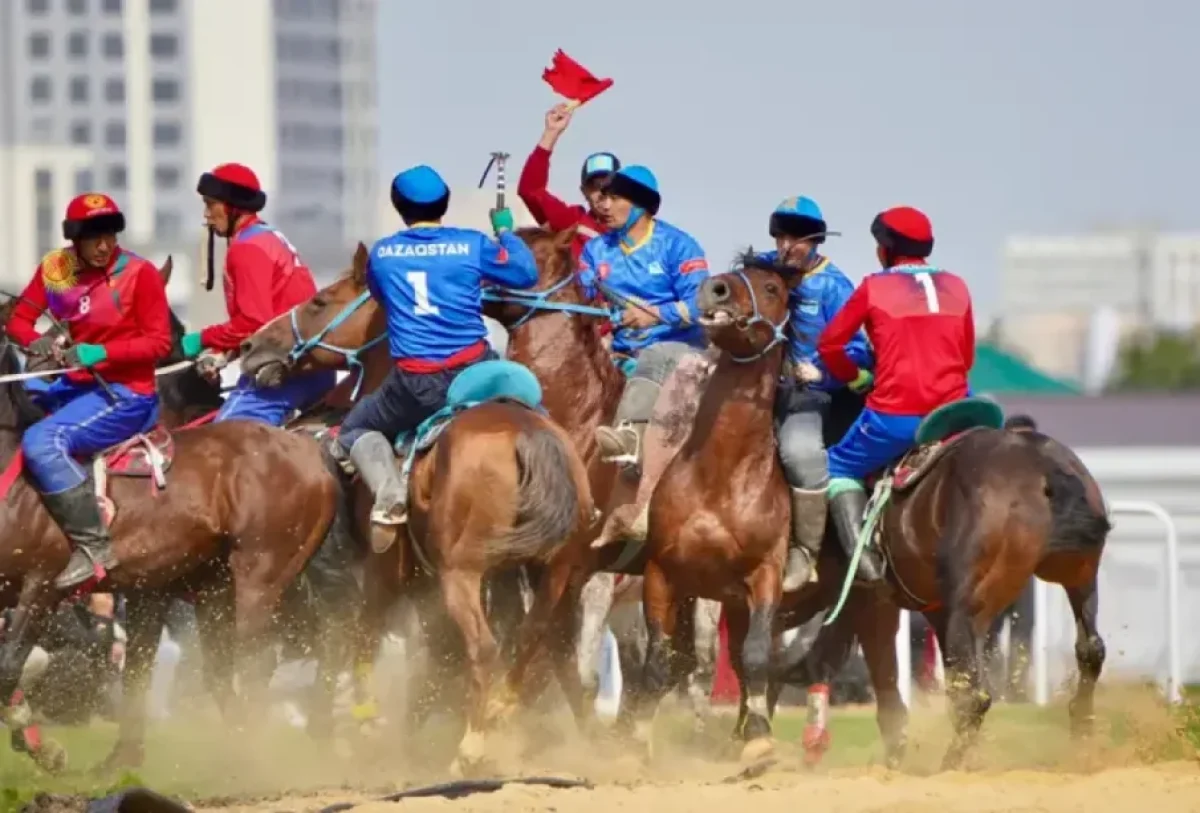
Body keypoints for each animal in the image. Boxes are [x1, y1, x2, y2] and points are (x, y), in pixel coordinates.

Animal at [0, 306, 348, 777]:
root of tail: (308, 452)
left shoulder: (41, 586)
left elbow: (10, 665)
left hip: (261, 576)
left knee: (261, 661)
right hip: (233, 585)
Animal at [235, 241, 595, 772]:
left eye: (320, 300)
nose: (251, 348)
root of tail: (525, 435)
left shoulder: (386, 573)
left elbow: (365, 635)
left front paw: (366, 718)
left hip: (462, 574)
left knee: (483, 647)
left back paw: (470, 746)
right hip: (553, 570)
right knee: (532, 638)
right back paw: (500, 712)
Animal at [619, 256, 907, 772]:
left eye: (771, 287)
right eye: (734, 273)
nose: (714, 289)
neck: (721, 475)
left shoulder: (765, 577)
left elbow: (753, 659)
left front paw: (759, 742)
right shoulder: (664, 575)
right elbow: (659, 663)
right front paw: (635, 744)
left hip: (869, 605)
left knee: (882, 680)